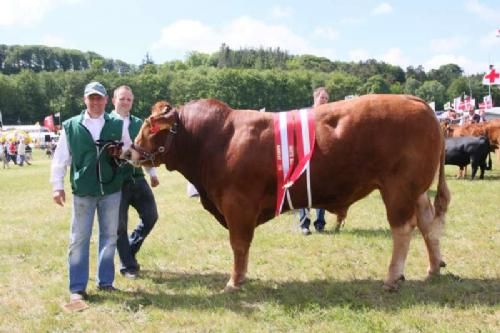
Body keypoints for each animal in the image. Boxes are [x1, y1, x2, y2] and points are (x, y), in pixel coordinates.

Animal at [127, 93, 452, 290]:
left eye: (149, 126)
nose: (129, 151)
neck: (217, 138)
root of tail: (416, 101)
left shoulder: (237, 204)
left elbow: (239, 244)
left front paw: (235, 281)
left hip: (398, 188)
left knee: (403, 229)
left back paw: (392, 277)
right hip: (416, 191)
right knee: (428, 225)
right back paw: (433, 268)